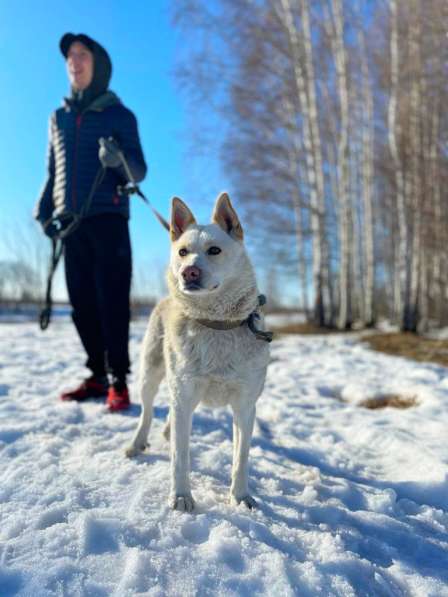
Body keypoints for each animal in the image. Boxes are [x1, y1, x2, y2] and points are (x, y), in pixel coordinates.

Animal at [126, 193, 272, 510]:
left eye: (214, 250)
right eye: (183, 252)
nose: (188, 272)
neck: (216, 324)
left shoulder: (245, 405)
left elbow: (241, 458)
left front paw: (240, 497)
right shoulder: (184, 395)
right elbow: (179, 457)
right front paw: (181, 496)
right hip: (151, 373)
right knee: (146, 412)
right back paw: (136, 443)